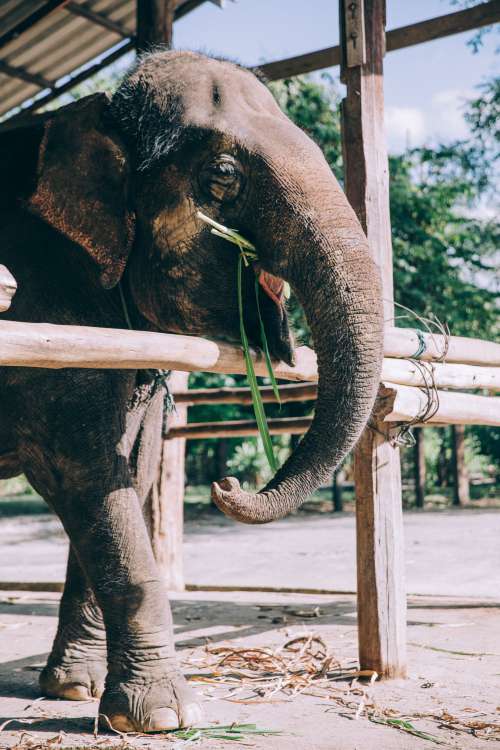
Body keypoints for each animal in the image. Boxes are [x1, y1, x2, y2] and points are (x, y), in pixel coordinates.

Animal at [0, 50, 382, 732]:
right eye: (224, 175)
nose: (227, 483)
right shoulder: (46, 308)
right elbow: (86, 472)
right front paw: (162, 718)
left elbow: (129, 471)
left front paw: (74, 689)